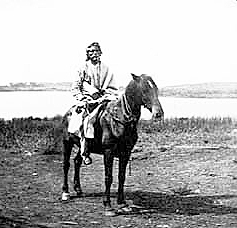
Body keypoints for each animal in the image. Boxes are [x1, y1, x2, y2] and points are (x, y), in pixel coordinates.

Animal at [60, 73, 164, 216]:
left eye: (156, 89)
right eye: (144, 90)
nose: (158, 113)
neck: (120, 120)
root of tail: (68, 113)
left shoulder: (126, 153)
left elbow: (121, 177)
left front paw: (122, 203)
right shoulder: (108, 152)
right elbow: (108, 177)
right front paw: (108, 206)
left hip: (83, 146)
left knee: (77, 162)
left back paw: (78, 189)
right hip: (67, 142)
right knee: (66, 165)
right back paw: (65, 192)